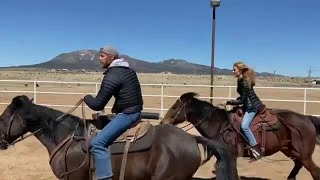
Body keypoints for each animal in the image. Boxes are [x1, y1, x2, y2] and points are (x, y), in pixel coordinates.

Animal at [160, 92, 320, 180]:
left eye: (175, 107)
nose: (163, 122)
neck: (219, 125)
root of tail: (307, 118)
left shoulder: (230, 155)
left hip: (304, 155)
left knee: (314, 171)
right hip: (290, 150)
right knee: (298, 165)